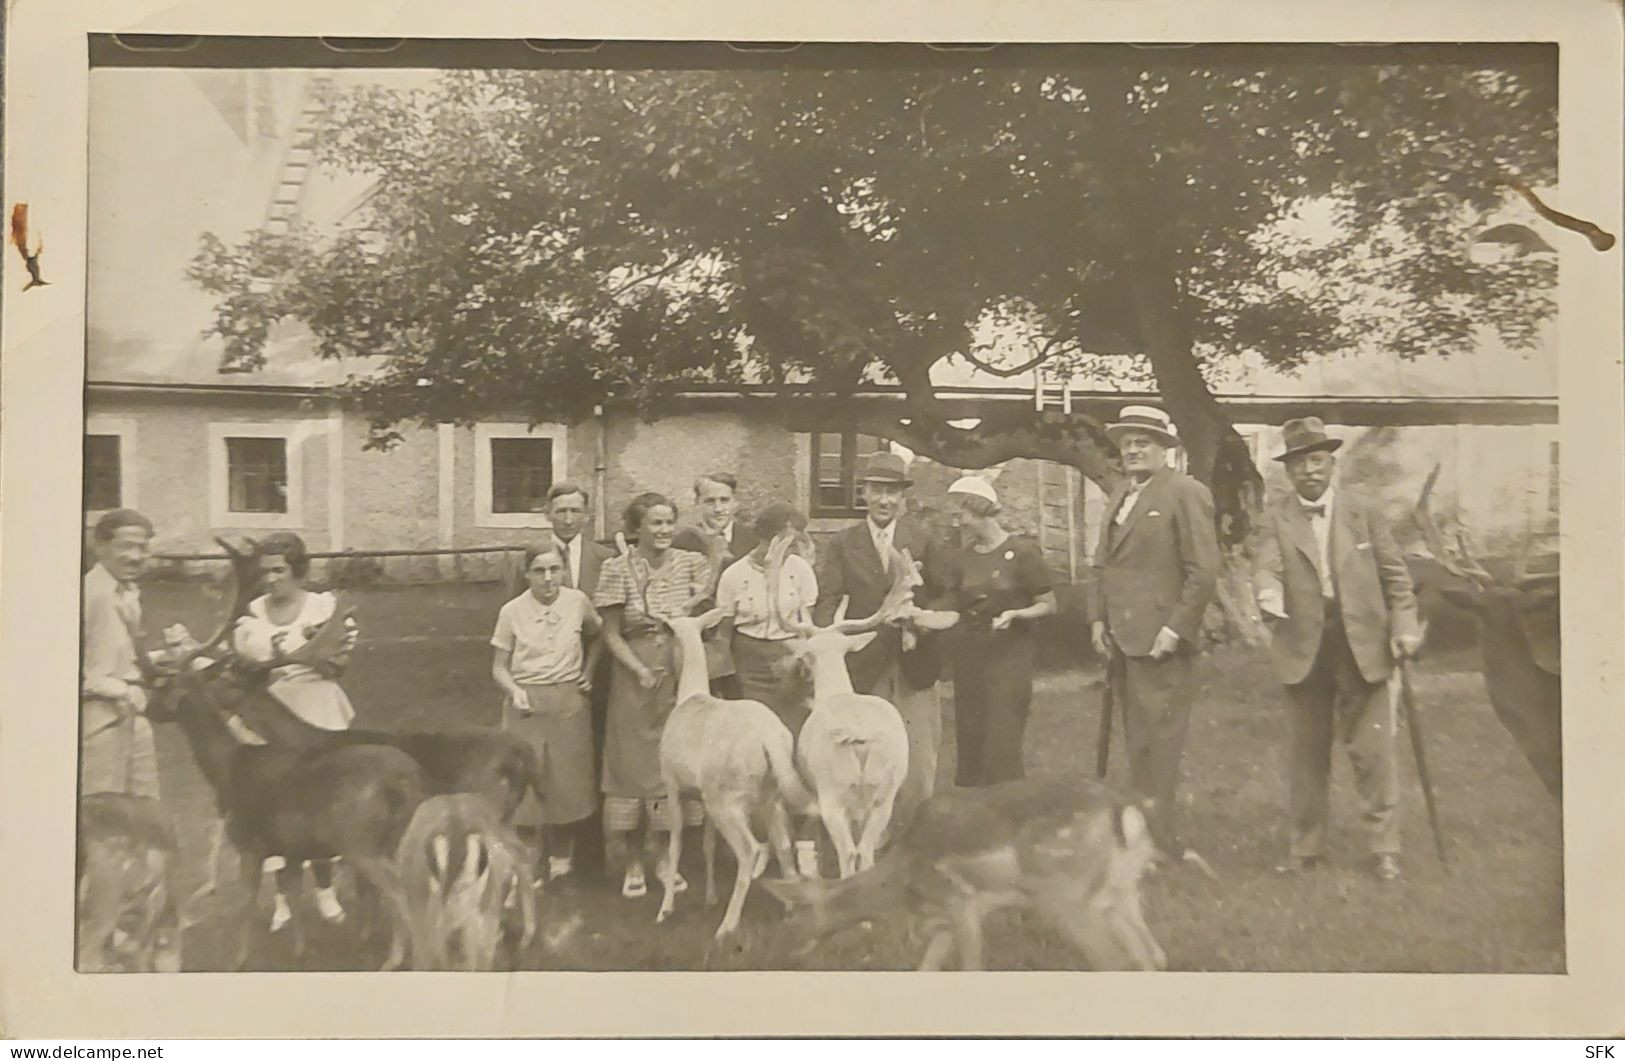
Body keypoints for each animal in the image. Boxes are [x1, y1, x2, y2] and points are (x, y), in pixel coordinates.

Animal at [656, 545, 819, 935]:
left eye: (667, 635)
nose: (662, 664)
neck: (690, 696)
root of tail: (770, 739)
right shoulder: (701, 795)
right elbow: (708, 842)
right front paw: (710, 896)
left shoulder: (672, 782)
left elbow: (677, 840)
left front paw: (665, 908)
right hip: (770, 793)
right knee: (783, 845)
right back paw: (789, 909)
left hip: (727, 797)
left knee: (753, 850)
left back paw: (727, 928)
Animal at [760, 770, 1170, 968]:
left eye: (791, 916)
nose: (772, 955)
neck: (901, 887)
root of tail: (1128, 808)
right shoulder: (945, 919)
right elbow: (925, 972)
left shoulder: (960, 901)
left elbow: (971, 968)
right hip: (1119, 890)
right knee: (1153, 956)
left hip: (1065, 895)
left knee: (1113, 959)